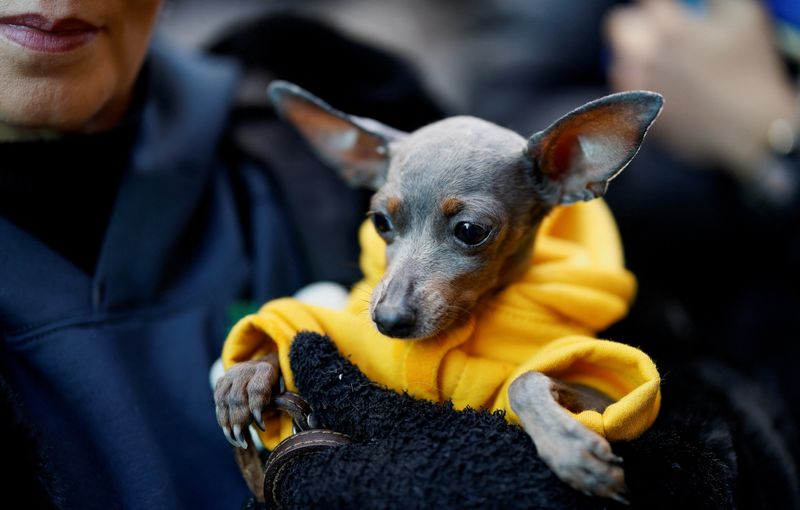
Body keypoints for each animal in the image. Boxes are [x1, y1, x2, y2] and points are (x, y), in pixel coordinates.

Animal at [216, 81, 664, 504]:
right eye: (380, 222)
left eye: (471, 231)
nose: (388, 320)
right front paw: (249, 372)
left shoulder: (605, 398)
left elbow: (524, 380)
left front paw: (568, 445)